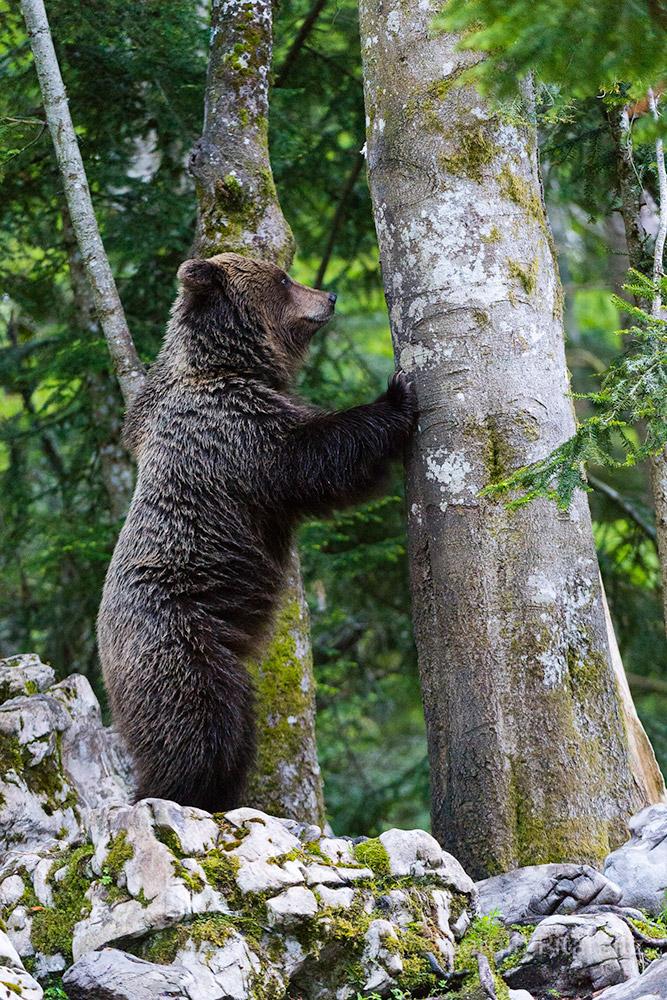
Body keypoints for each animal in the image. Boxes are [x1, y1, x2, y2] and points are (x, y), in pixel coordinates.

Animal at [96, 252, 418, 812]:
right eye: (284, 279)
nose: (329, 296)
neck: (230, 363)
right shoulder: (233, 429)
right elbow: (312, 458)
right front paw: (397, 394)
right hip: (180, 643)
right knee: (201, 729)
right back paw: (183, 797)